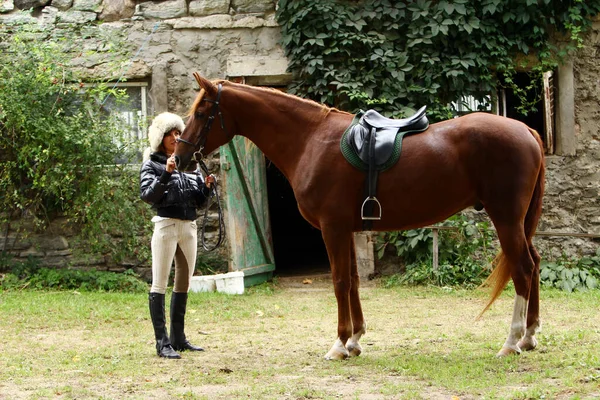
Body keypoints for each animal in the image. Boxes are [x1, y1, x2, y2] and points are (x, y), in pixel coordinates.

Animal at [173, 73, 544, 360]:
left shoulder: (332, 228)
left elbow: (339, 281)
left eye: (202, 112)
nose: (179, 157)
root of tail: (527, 132)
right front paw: (354, 340)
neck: (310, 140)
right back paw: (529, 336)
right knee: (536, 264)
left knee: (523, 268)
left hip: (506, 218)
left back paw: (511, 341)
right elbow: (352, 280)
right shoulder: (346, 229)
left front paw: (339, 344)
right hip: (519, 223)